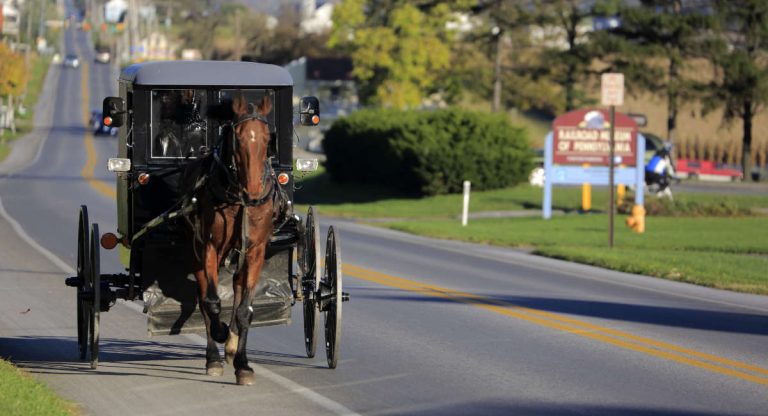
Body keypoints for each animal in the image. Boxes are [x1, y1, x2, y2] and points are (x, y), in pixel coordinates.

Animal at [185, 92, 276, 386]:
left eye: (267, 138)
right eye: (237, 136)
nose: (254, 190)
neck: (238, 198)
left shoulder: (256, 250)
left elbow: (246, 309)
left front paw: (243, 364)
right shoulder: (209, 247)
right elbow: (212, 303)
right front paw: (221, 332)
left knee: (236, 289)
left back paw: (232, 347)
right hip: (195, 252)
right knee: (204, 300)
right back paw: (214, 356)